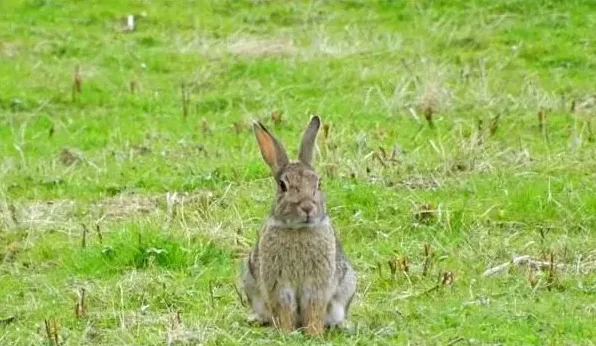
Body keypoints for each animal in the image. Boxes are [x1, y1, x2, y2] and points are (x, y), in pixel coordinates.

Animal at [240, 115, 356, 336]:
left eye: (318, 183)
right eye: (283, 185)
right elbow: (284, 308)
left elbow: (314, 307)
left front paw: (314, 333)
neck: (298, 230)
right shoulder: (278, 284)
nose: (307, 207)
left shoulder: (317, 284)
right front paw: (285, 332)